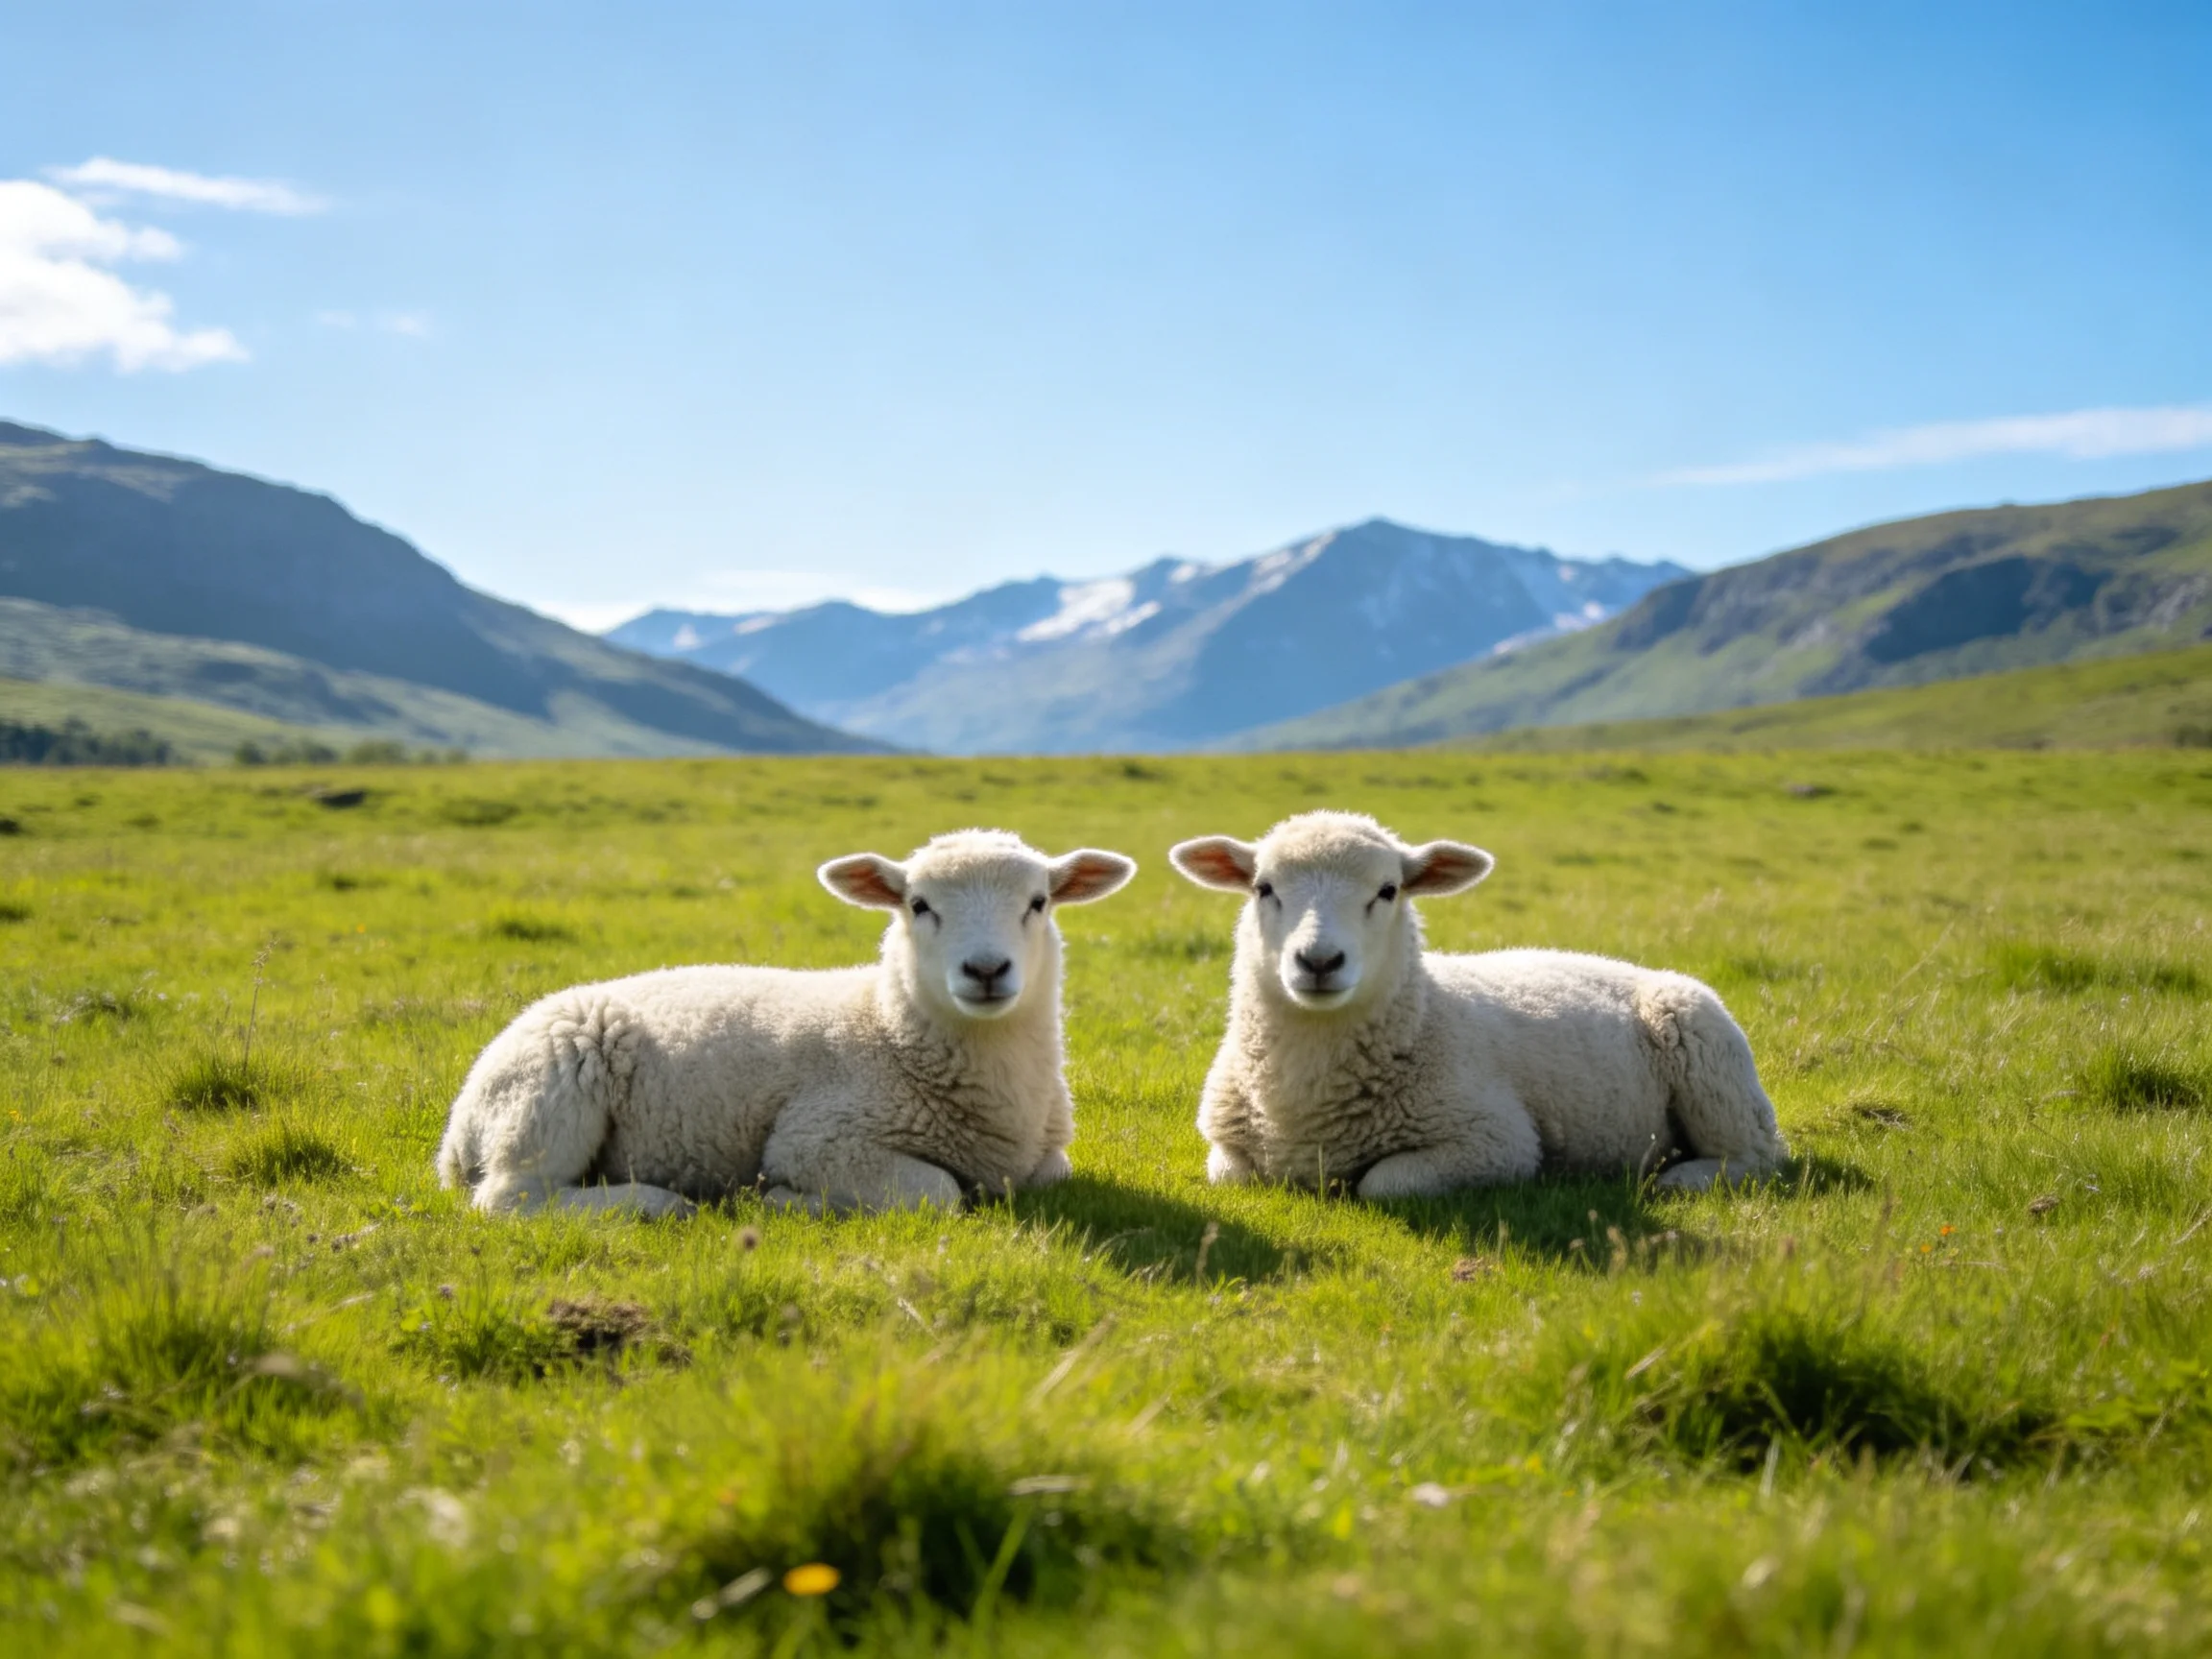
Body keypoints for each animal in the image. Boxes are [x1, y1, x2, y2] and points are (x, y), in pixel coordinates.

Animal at [436, 830, 1136, 1217]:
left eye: (1039, 902)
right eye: (918, 905)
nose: (986, 969)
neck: (887, 1029)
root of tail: (456, 1131)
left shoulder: (1044, 1156)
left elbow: (1052, 1172)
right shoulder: (819, 1138)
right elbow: (937, 1192)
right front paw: (783, 1201)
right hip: (550, 1093)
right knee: (511, 1198)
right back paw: (657, 1204)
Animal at [1168, 811, 1788, 1197]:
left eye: (1388, 891)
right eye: (1263, 888)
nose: (1319, 961)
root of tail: (1630, 967)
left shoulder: (1496, 1140)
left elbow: (1383, 1183)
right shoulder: (1226, 1148)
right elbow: (1231, 1176)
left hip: (1712, 1063)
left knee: (1761, 1156)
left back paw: (1682, 1179)